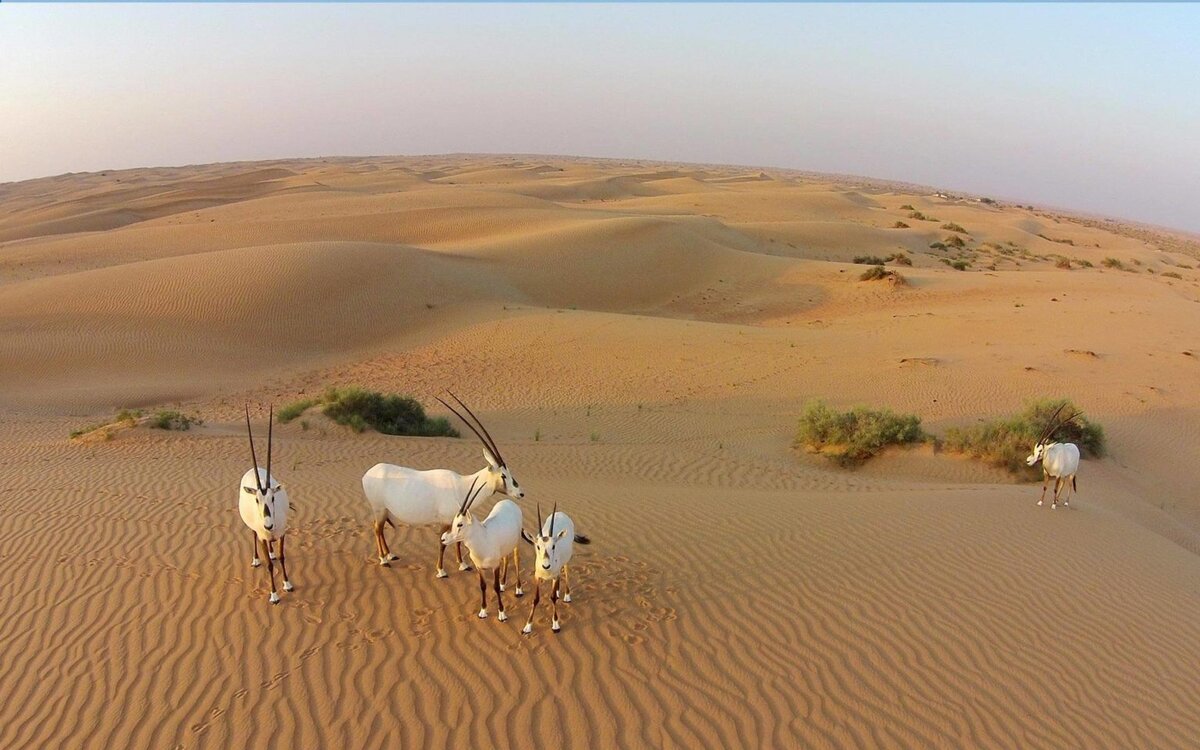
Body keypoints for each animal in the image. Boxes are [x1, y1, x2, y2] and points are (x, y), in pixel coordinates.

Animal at [237, 403, 294, 602]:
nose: (268, 525)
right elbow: (269, 565)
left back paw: (271, 552)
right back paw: (256, 559)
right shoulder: (263, 537)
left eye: (273, 498)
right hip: (254, 529)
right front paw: (274, 595)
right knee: (254, 535)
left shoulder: (282, 533)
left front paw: (287, 584)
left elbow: (283, 557)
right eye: (257, 499)